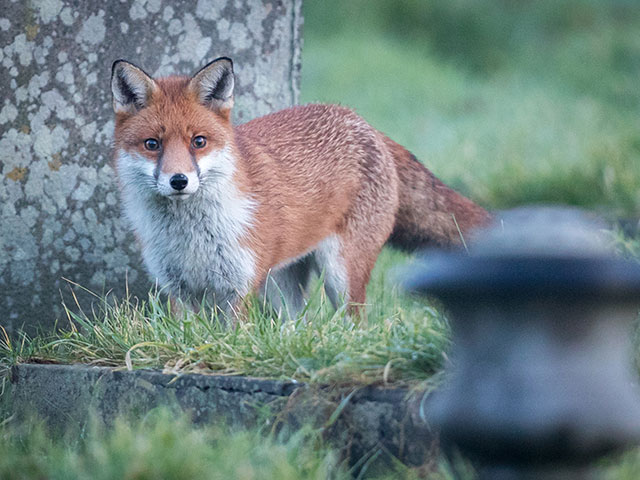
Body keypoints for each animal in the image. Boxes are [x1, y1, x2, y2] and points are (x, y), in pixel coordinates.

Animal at [111, 57, 490, 318]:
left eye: (198, 142)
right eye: (152, 144)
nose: (179, 180)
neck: (191, 237)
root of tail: (362, 122)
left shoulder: (239, 288)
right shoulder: (178, 288)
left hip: (340, 275)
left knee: (356, 325)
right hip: (280, 284)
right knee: (297, 326)